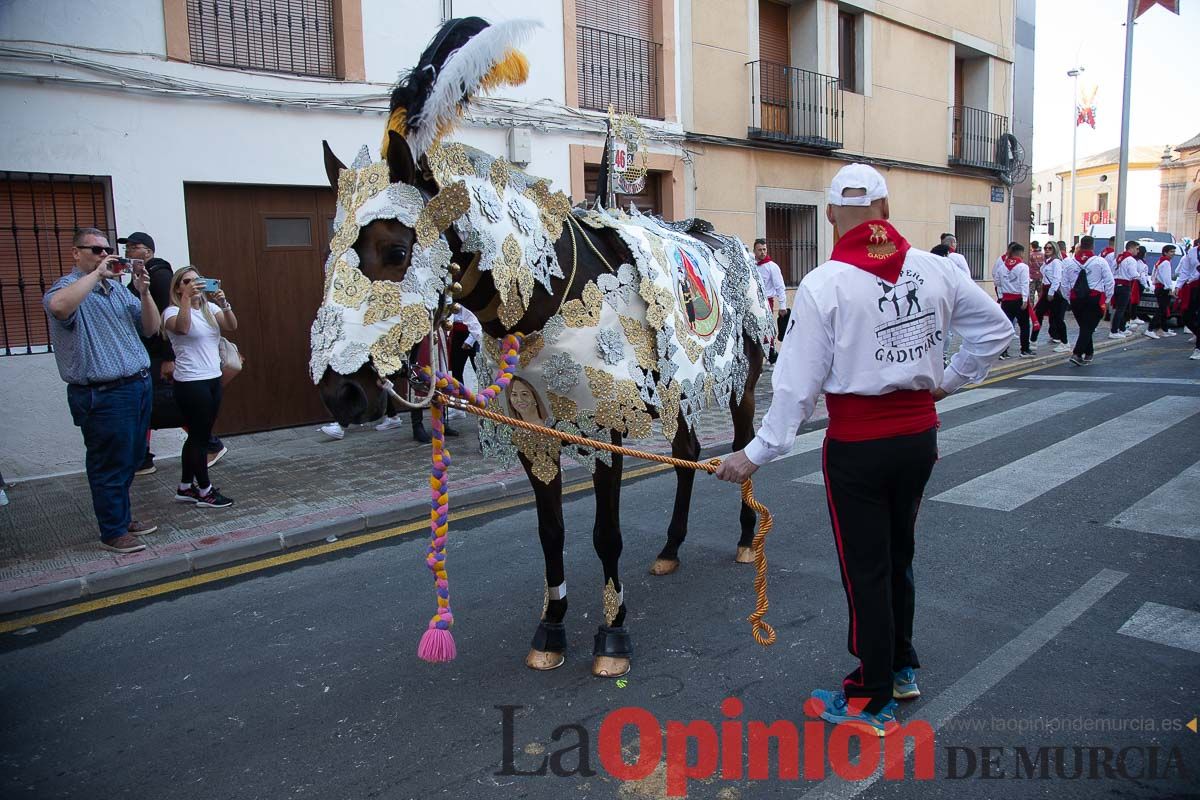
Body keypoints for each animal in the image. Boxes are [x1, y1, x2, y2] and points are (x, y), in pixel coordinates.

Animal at [309, 18, 772, 681]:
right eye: (330, 254)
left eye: (396, 251)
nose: (341, 391)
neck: (551, 295)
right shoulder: (535, 432)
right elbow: (550, 532)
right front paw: (551, 628)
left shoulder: (606, 427)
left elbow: (605, 534)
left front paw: (612, 635)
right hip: (679, 392)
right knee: (687, 452)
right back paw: (670, 547)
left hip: (740, 381)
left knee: (738, 448)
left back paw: (740, 540)